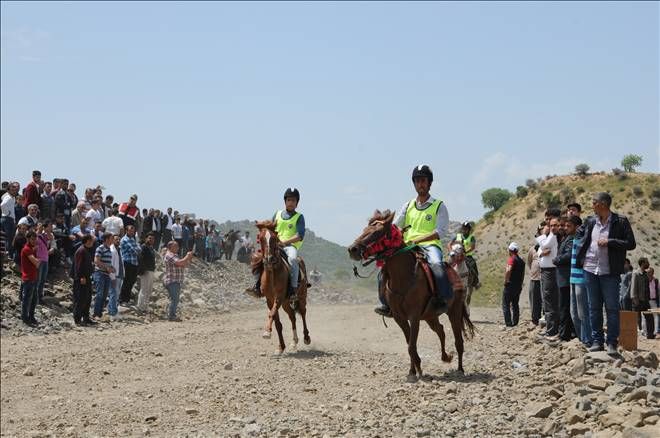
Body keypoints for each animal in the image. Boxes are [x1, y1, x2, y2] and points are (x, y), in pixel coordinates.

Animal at [255, 221, 312, 354]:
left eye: (274, 238)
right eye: (260, 238)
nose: (269, 259)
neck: (272, 273)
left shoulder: (279, 297)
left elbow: (272, 314)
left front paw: (267, 332)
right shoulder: (270, 299)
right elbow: (277, 323)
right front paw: (281, 347)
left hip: (301, 297)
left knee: (303, 312)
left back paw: (306, 338)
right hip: (286, 302)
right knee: (292, 316)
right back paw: (294, 342)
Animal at [346, 209, 474, 380]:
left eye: (377, 232)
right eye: (365, 229)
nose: (352, 249)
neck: (404, 277)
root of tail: (455, 273)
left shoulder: (414, 317)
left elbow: (411, 345)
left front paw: (417, 370)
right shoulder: (400, 318)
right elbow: (409, 345)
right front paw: (413, 371)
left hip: (454, 311)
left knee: (458, 341)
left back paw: (460, 369)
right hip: (430, 316)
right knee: (440, 330)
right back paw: (446, 357)